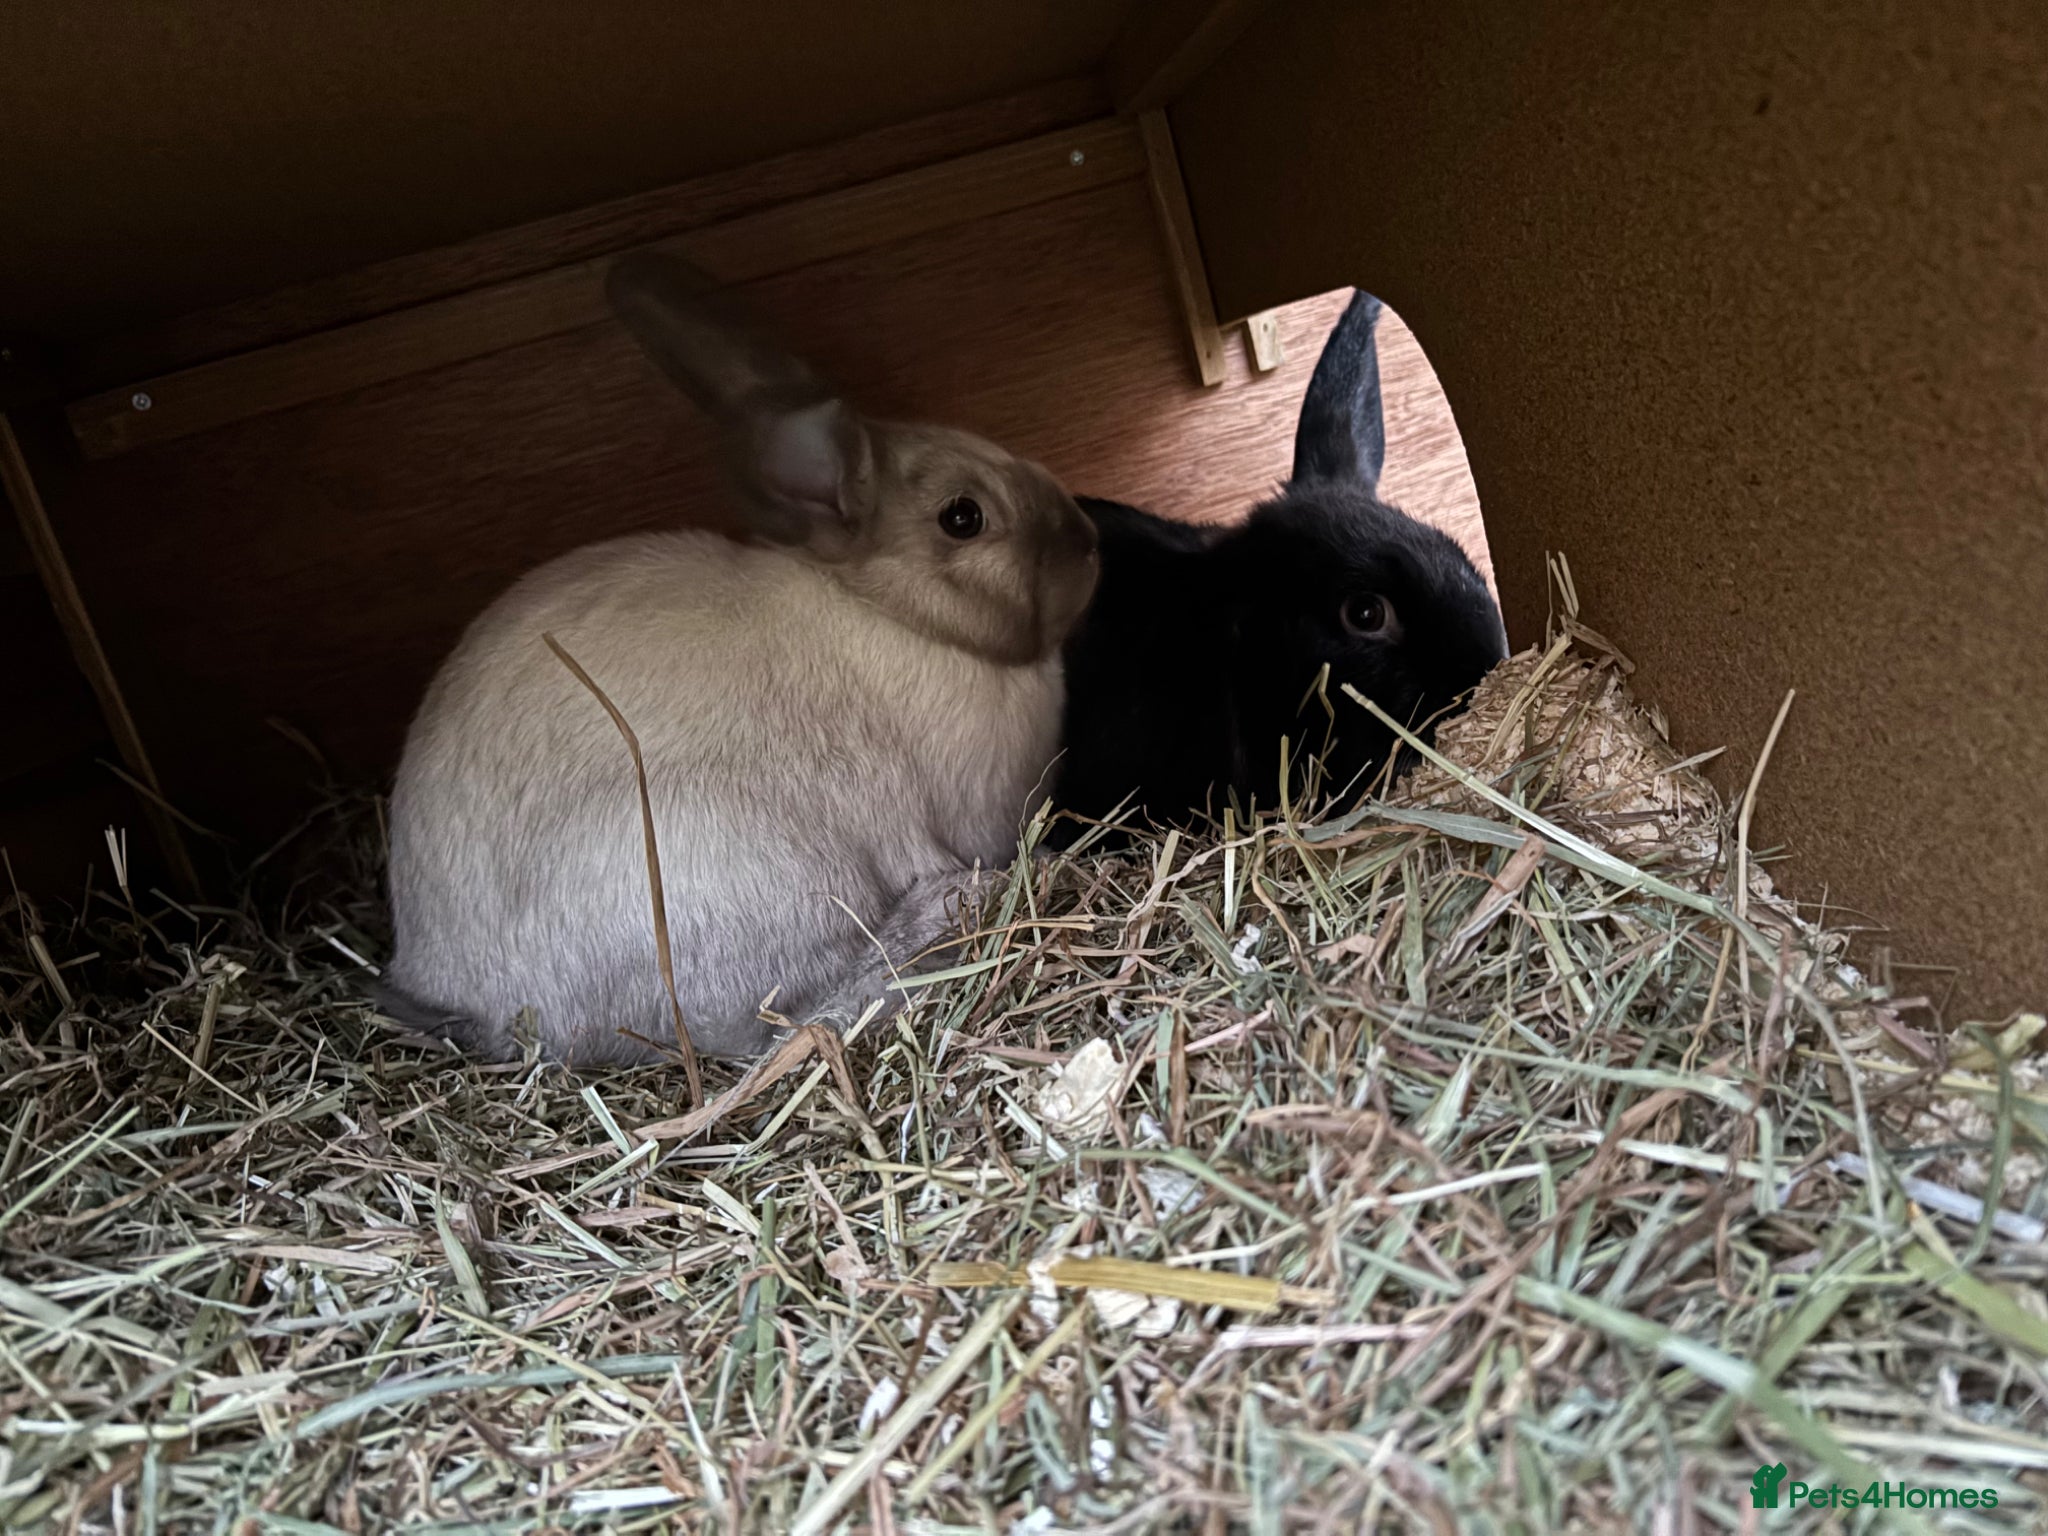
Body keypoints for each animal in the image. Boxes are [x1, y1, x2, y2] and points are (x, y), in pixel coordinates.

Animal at [379, 252, 1100, 1065]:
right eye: (963, 517)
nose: (1087, 538)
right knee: (790, 1016)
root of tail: (475, 999)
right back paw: (946, 910)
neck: (890, 614)